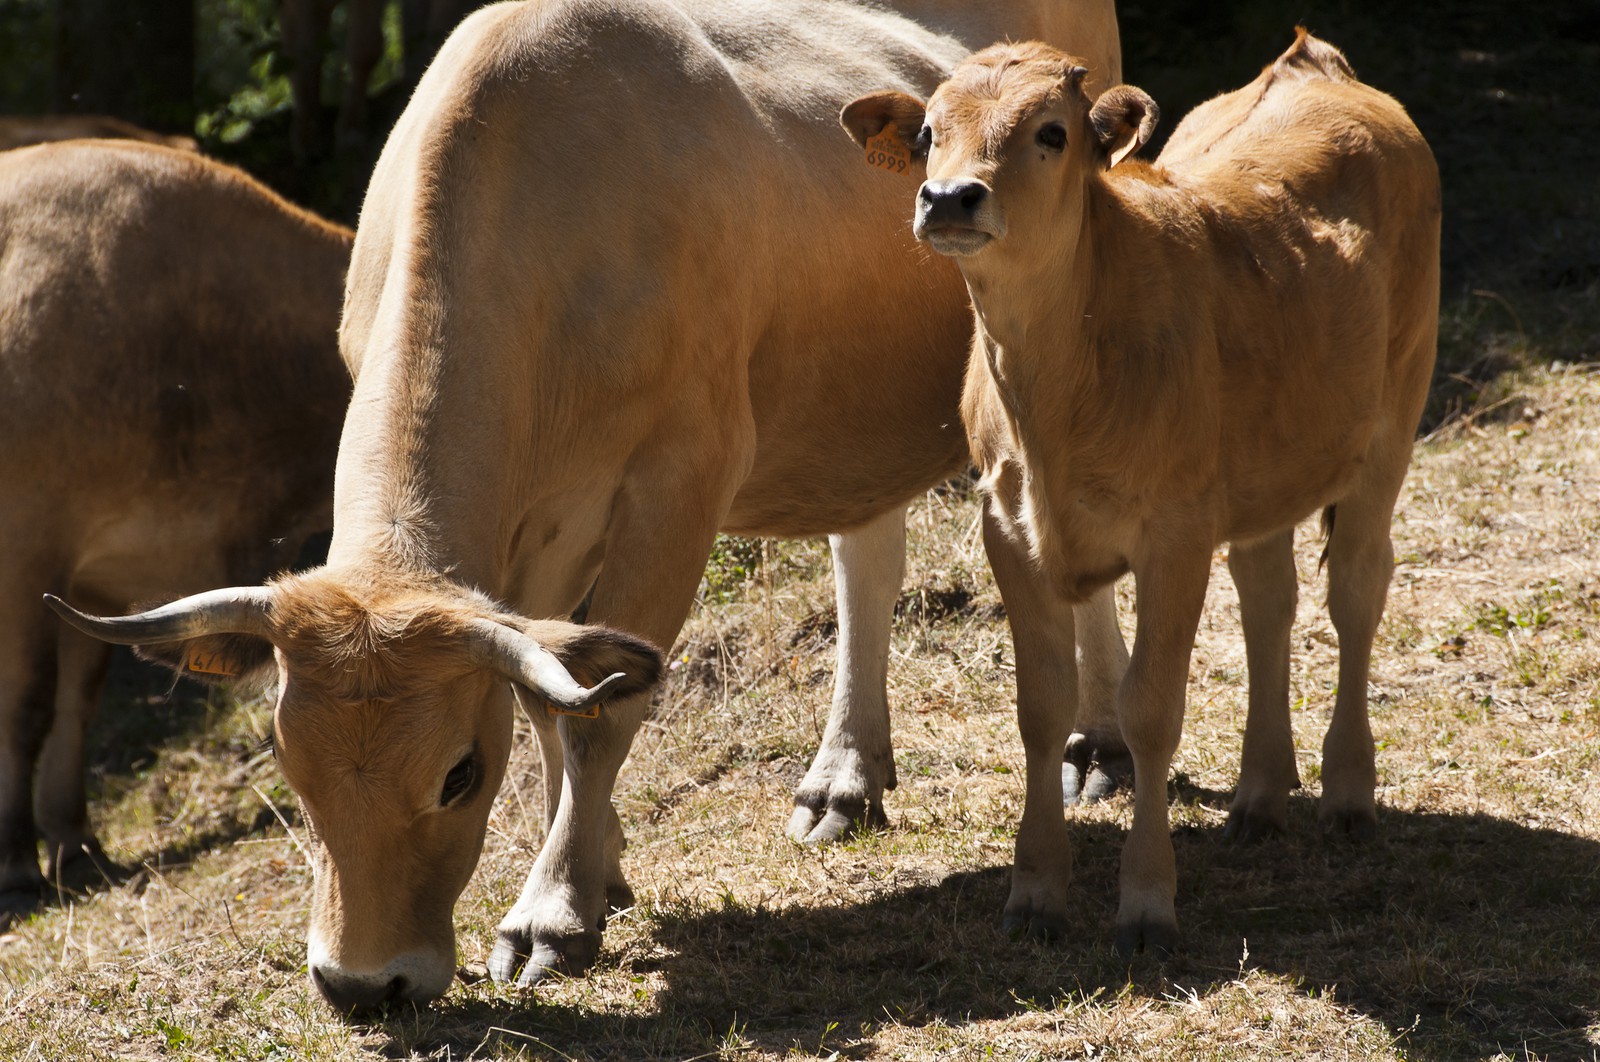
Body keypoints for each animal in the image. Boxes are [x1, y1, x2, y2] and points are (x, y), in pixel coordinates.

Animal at [0, 140, 352, 910]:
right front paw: (16, 866)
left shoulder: (101, 581)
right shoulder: (27, 549)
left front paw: (76, 845)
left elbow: (78, 702)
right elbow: (29, 706)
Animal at [45, 0, 1127, 1010]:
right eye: (288, 767)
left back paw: (1101, 745)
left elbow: (602, 714)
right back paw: (845, 779)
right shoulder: (535, 539)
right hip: (850, 407)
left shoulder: (679, 482)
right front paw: (598, 876)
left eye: (458, 775)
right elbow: (551, 698)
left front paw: (552, 913)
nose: (360, 987)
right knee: (866, 559)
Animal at [840, 29, 1440, 953]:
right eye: (928, 136)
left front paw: (1149, 901)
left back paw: (1347, 793)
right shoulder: (1008, 528)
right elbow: (1041, 707)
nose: (948, 198)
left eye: (1051, 132)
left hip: (1393, 417)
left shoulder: (1175, 533)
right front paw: (1035, 890)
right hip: (1266, 470)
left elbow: (1151, 708)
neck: (1057, 386)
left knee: (1356, 589)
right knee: (1268, 597)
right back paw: (1259, 797)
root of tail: (1313, 64)